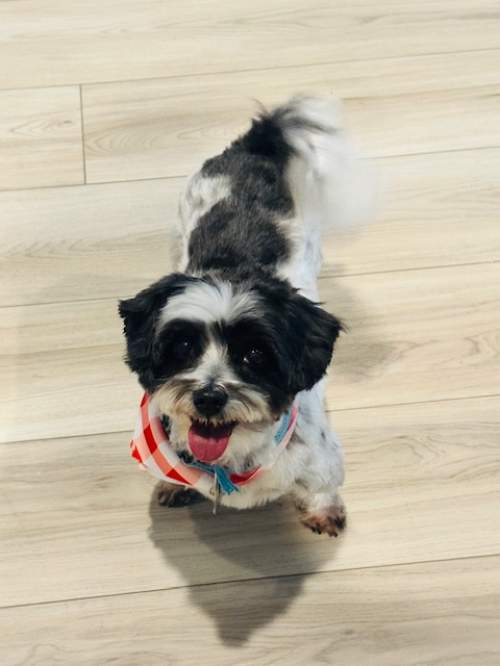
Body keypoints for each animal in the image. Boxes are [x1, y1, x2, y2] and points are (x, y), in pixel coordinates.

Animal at [119, 96, 370, 535]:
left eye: (255, 355)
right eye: (183, 346)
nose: (209, 396)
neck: (230, 461)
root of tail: (255, 146)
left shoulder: (320, 460)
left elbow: (323, 486)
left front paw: (324, 512)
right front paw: (173, 487)